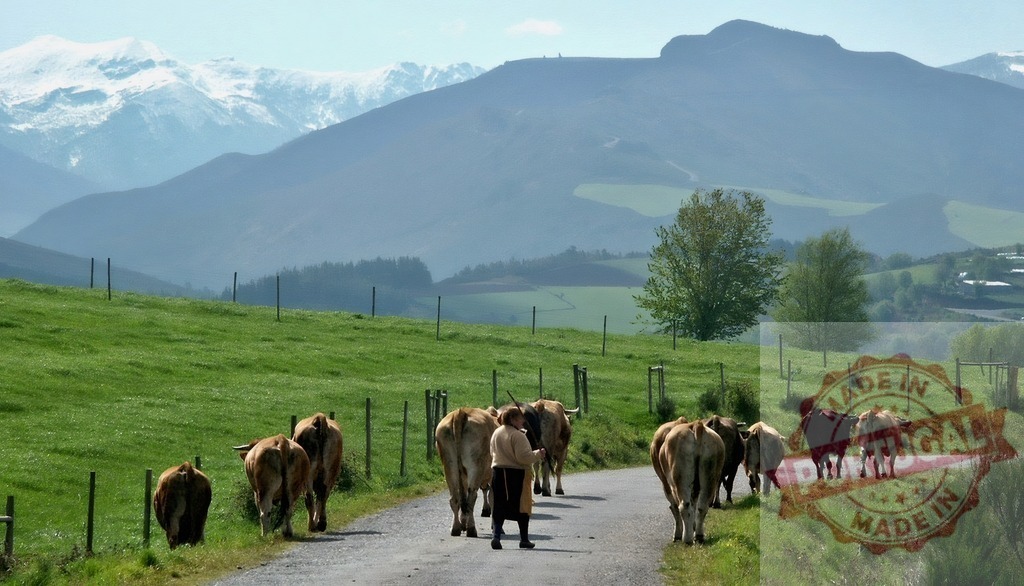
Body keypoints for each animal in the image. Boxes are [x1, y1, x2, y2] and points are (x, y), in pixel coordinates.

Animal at [436, 407, 499, 537]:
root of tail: (461, 412)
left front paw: (463, 523)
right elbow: (492, 498)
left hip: (450, 467)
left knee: (455, 498)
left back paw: (456, 528)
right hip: (475, 467)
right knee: (471, 498)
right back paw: (471, 529)